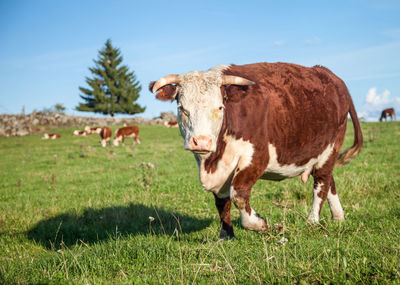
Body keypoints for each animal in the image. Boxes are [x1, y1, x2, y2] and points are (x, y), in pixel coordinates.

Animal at [150, 63, 362, 239]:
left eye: (219, 107)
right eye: (182, 108)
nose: (201, 141)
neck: (213, 160)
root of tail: (330, 75)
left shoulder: (257, 157)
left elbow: (238, 193)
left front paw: (258, 224)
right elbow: (221, 202)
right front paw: (226, 235)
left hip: (331, 148)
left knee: (321, 183)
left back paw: (312, 220)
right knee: (329, 181)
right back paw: (338, 217)